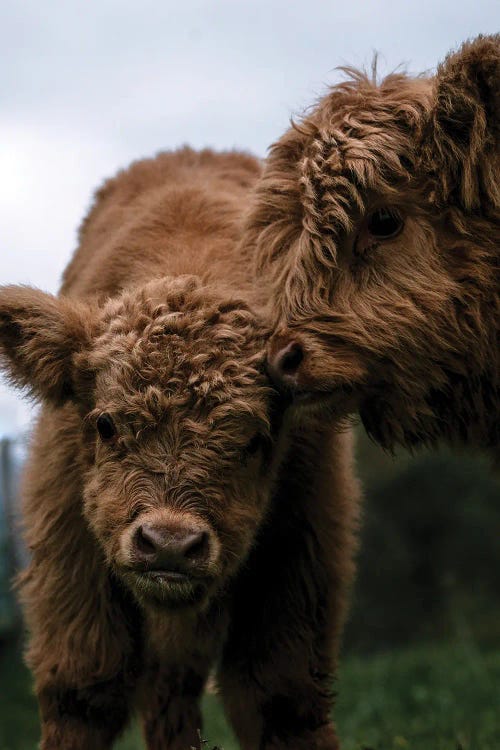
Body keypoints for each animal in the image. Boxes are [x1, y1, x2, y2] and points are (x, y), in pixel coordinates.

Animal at [0, 148, 360, 750]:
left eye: (255, 439)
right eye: (106, 425)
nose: (169, 543)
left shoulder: (302, 559)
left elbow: (280, 699)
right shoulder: (69, 563)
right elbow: (83, 693)